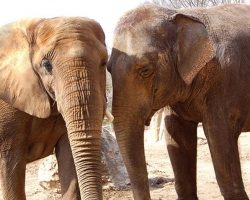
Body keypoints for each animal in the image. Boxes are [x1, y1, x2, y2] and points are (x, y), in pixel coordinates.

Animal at [108, 3, 250, 200]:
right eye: (108, 68)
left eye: (145, 70)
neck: (181, 15)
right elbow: (176, 137)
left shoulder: (227, 82)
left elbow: (220, 138)